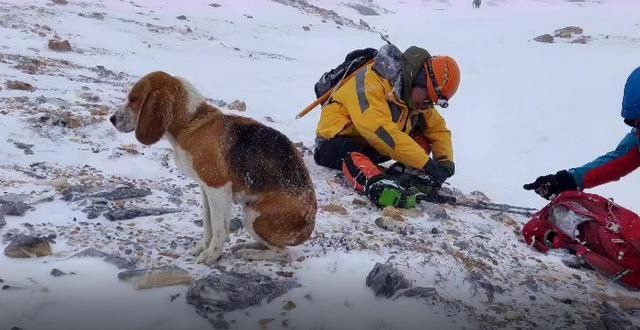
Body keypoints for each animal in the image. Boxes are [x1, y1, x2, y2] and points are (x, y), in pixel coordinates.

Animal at [114, 71, 318, 264]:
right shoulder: (206, 189)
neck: (192, 122)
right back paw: (247, 245)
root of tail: (310, 224)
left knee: (284, 253)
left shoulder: (218, 188)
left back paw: (250, 253)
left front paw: (212, 255)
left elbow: (219, 227)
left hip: (252, 215)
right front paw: (203, 247)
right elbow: (208, 224)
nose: (112, 119)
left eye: (133, 99)